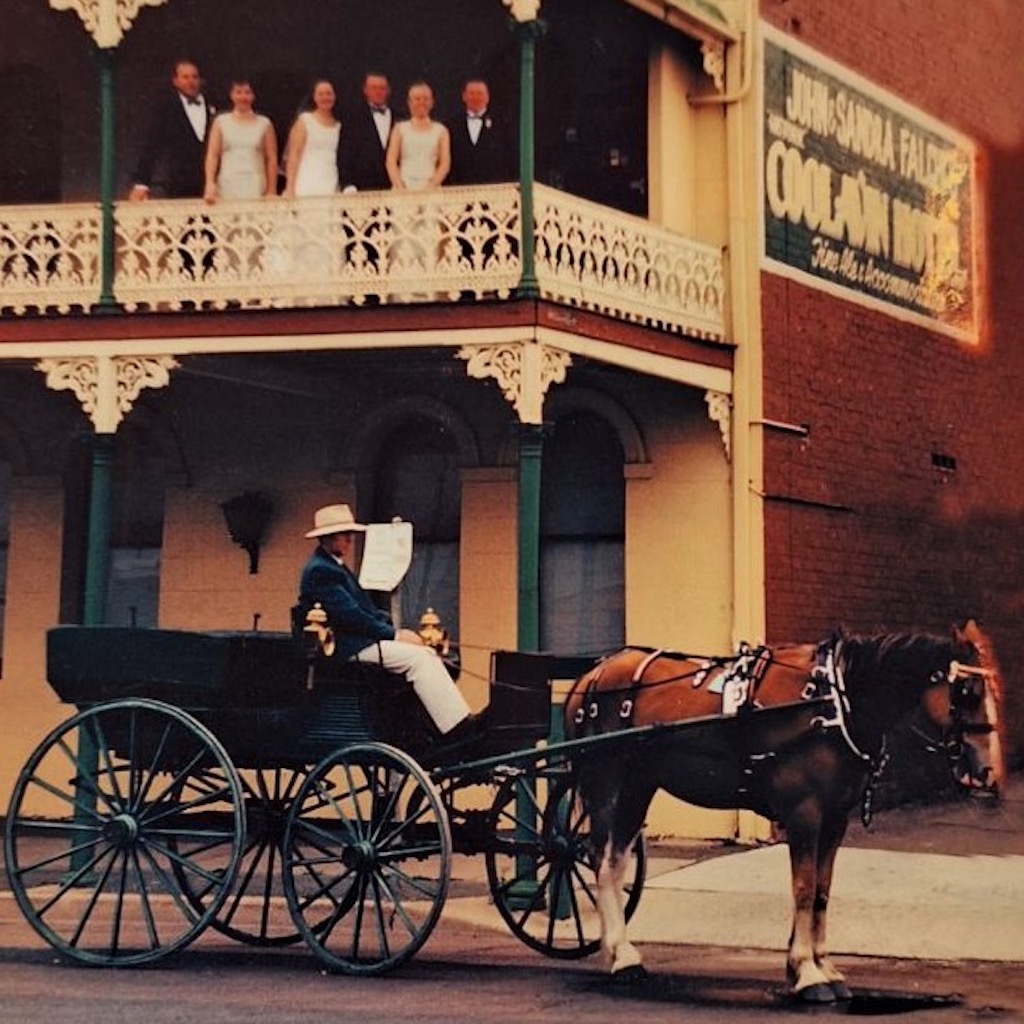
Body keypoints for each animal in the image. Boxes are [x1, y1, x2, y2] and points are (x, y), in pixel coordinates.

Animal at [569, 618, 1007, 1003]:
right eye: (966, 692)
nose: (988, 770)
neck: (832, 705)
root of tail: (593, 675)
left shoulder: (834, 818)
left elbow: (822, 891)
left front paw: (823, 967)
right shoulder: (804, 813)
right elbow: (803, 889)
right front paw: (808, 974)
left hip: (637, 785)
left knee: (616, 861)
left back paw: (622, 953)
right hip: (607, 781)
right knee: (603, 862)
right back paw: (621, 958)